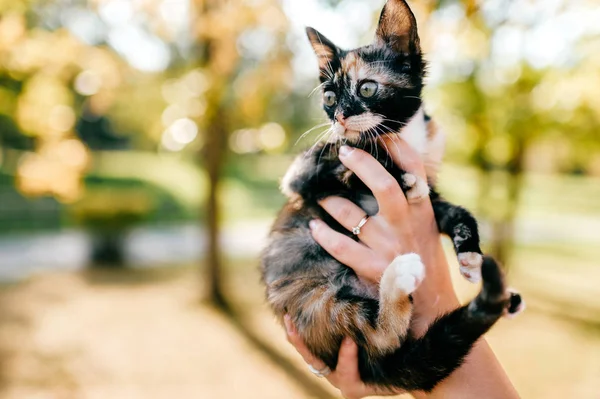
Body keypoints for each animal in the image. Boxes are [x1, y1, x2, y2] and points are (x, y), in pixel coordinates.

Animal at [260, 0, 524, 394]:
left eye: (367, 88)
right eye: (329, 97)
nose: (340, 116)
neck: (403, 136)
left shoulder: (433, 199)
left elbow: (458, 212)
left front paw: (472, 257)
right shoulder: (301, 171)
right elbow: (352, 156)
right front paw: (399, 174)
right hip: (319, 302)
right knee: (378, 334)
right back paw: (399, 278)